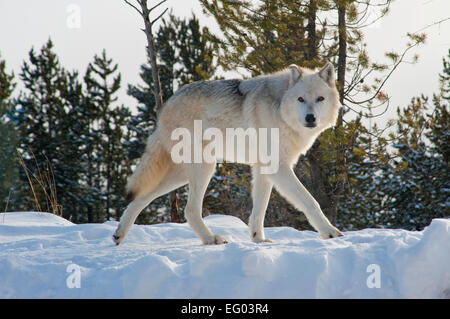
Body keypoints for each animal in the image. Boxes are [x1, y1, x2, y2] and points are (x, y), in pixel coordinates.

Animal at [113, 63, 344, 248]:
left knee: (141, 197)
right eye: (301, 99)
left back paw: (119, 234)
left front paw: (258, 239)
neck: (280, 110)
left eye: (320, 99)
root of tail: (165, 106)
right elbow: (310, 201)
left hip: (181, 175)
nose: (310, 118)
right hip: (204, 168)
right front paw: (330, 233)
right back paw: (211, 239)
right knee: (190, 210)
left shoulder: (263, 169)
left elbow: (259, 209)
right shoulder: (278, 168)